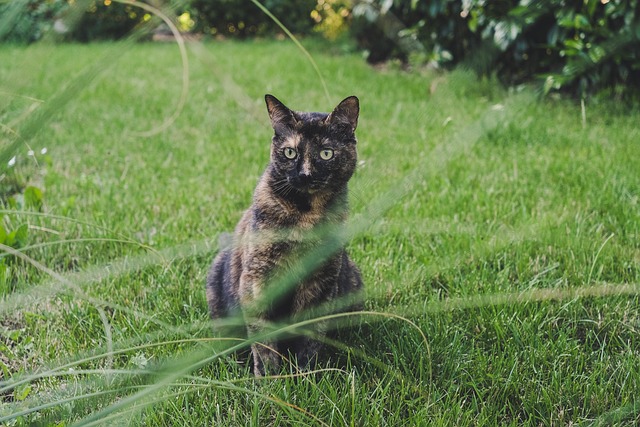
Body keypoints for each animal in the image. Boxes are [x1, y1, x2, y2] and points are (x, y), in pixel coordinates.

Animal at [206, 94, 362, 378]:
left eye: (326, 153)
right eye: (290, 152)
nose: (305, 174)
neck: (306, 216)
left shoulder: (320, 281)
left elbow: (309, 335)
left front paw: (305, 375)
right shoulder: (258, 279)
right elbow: (263, 339)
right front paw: (270, 379)